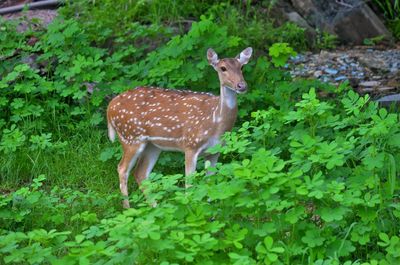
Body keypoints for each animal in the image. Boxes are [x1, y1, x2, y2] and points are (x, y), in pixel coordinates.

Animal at [108, 48, 252, 208]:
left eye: (242, 67)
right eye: (223, 68)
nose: (241, 86)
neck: (215, 122)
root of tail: (109, 107)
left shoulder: (215, 151)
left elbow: (209, 181)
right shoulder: (190, 145)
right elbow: (190, 184)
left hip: (152, 145)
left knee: (140, 173)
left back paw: (155, 207)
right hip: (130, 137)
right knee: (122, 169)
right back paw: (128, 209)